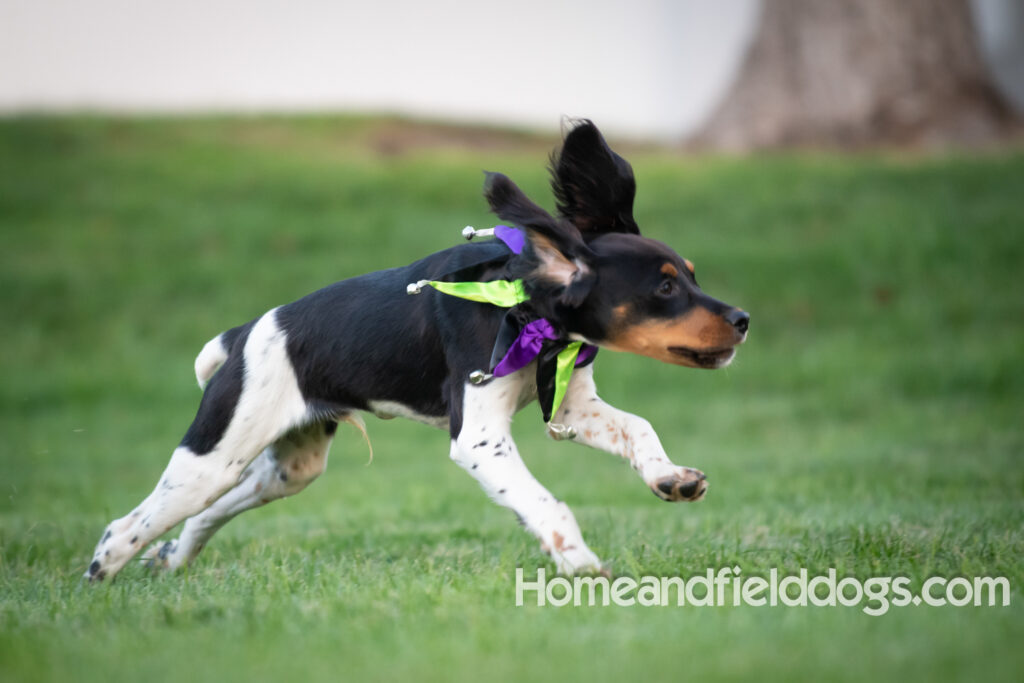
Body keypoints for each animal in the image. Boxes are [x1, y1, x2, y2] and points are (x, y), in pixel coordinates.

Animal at [86, 120, 745, 581]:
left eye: (690, 275)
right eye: (664, 288)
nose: (743, 320)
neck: (520, 306)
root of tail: (247, 332)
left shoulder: (573, 407)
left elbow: (639, 428)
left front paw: (670, 477)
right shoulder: (478, 439)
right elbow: (546, 502)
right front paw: (579, 561)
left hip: (290, 468)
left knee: (204, 512)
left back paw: (170, 561)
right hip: (212, 456)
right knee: (128, 522)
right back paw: (100, 577)